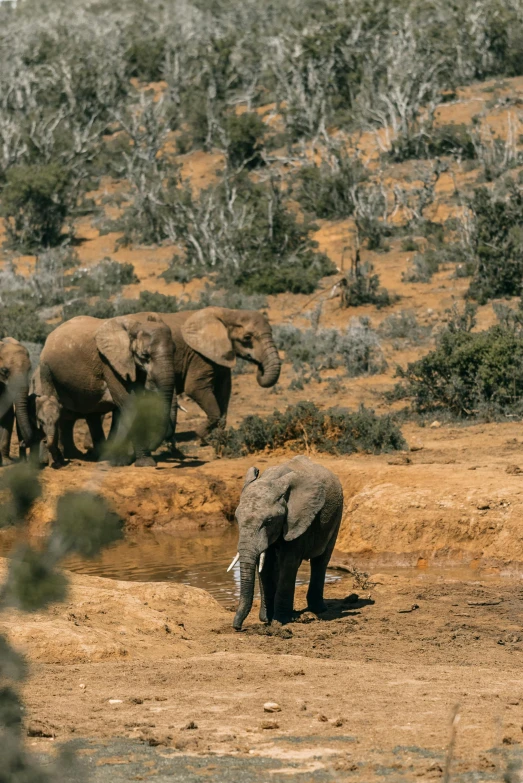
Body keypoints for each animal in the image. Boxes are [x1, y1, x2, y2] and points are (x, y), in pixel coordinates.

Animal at [39, 316, 177, 468]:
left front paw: (117, 461)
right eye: (145, 355)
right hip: (46, 371)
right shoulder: (110, 364)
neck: (134, 324)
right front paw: (145, 464)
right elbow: (130, 403)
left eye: (175, 351)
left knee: (92, 414)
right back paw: (56, 462)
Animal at [135, 306, 282, 440]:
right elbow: (195, 388)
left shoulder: (219, 355)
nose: (260, 367)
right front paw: (200, 434)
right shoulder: (199, 355)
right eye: (247, 337)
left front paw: (216, 436)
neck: (228, 313)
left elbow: (224, 388)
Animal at [229, 454, 344, 632]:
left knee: (321, 561)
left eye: (269, 521)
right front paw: (266, 619)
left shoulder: (298, 519)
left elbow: (288, 562)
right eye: (236, 519)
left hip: (337, 516)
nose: (237, 627)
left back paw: (318, 610)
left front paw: (280, 620)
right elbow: (266, 565)